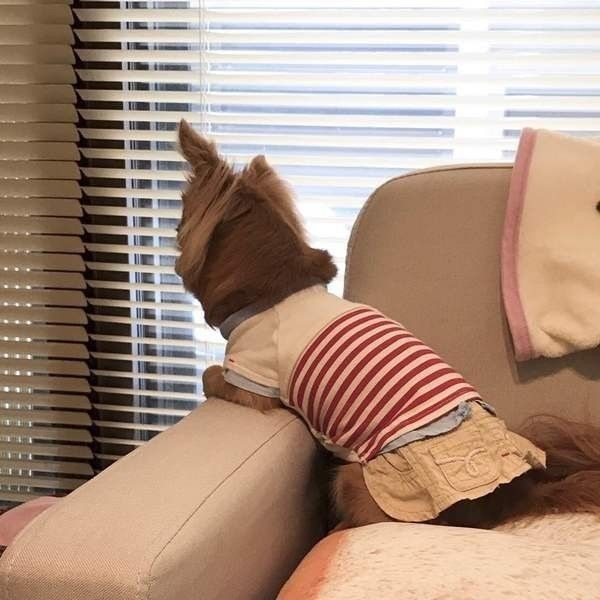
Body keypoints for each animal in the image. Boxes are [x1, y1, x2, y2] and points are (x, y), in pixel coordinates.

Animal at [175, 119, 600, 530]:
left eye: (180, 211)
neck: (278, 289)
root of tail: (514, 496)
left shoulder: (252, 378)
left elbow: (211, 375)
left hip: (358, 479)